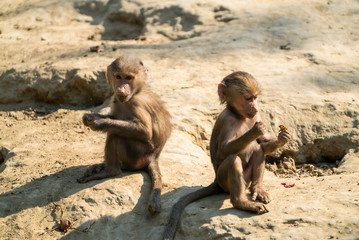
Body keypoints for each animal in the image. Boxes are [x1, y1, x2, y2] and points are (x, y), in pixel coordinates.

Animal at [77, 54, 172, 214]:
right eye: (118, 77)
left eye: (129, 78)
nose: (121, 89)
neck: (135, 93)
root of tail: (154, 156)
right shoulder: (114, 99)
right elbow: (113, 116)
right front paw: (89, 117)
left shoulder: (137, 104)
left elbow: (144, 131)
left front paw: (99, 123)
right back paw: (101, 166)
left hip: (139, 155)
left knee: (116, 135)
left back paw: (109, 171)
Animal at [163, 70, 292, 239]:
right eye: (248, 98)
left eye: (255, 98)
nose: (255, 107)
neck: (238, 115)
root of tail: (216, 182)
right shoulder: (226, 120)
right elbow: (224, 150)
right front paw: (256, 130)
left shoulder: (255, 117)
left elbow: (263, 143)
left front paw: (282, 138)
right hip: (224, 181)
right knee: (233, 160)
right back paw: (242, 203)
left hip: (246, 180)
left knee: (258, 150)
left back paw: (257, 190)